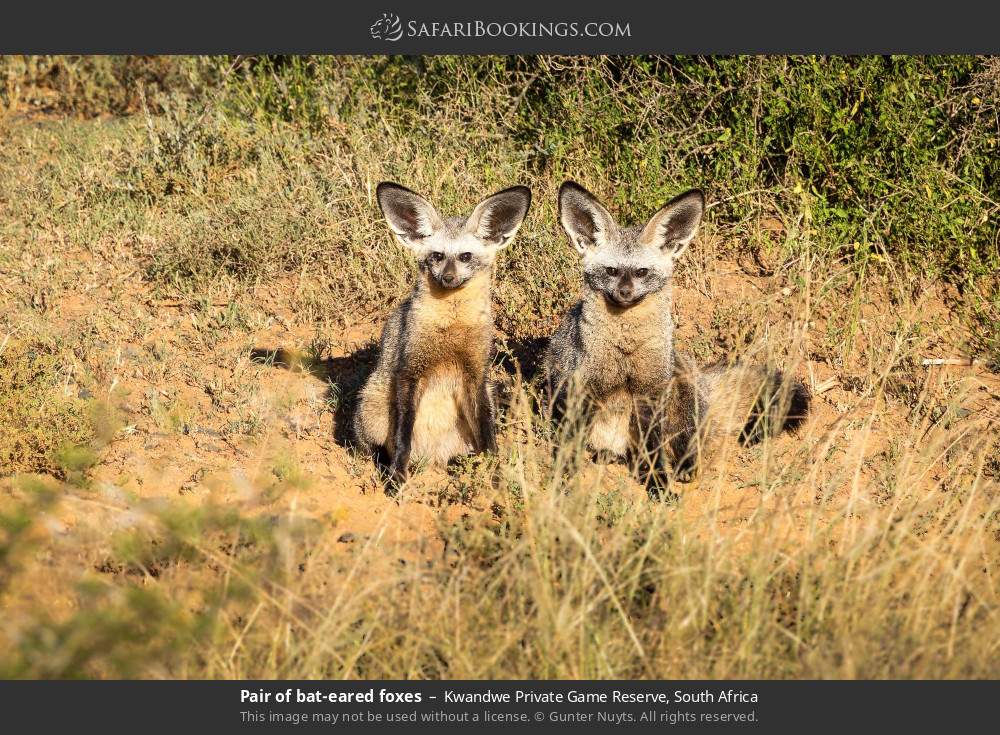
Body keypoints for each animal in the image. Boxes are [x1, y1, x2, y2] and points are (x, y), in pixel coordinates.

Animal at [353, 182, 532, 485]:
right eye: (437, 256)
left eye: (465, 256)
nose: (448, 278)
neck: (451, 329)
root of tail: (431, 457)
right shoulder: (410, 370)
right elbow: (402, 438)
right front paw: (397, 475)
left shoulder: (476, 374)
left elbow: (487, 433)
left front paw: (494, 469)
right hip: (372, 405)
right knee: (375, 448)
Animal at [544, 180, 809, 483]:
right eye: (611, 271)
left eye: (641, 272)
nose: (624, 293)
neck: (625, 349)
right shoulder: (580, 389)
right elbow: (569, 443)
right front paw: (562, 477)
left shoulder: (651, 392)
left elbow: (653, 450)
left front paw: (658, 482)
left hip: (680, 393)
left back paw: (683, 468)